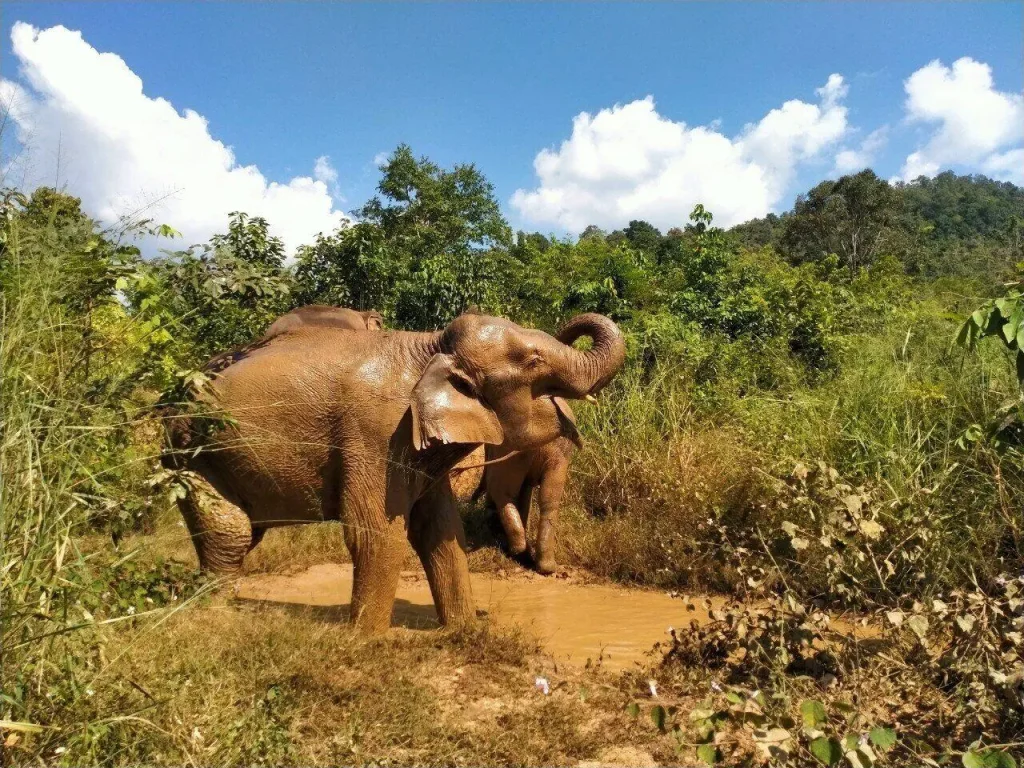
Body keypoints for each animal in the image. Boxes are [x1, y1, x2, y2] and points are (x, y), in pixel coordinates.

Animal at [161, 309, 622, 634]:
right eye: (533, 360)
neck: (430, 347)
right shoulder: (375, 434)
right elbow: (376, 531)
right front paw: (367, 641)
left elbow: (440, 529)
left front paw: (464, 631)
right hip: (192, 454)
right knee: (231, 534)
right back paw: (215, 619)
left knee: (239, 535)